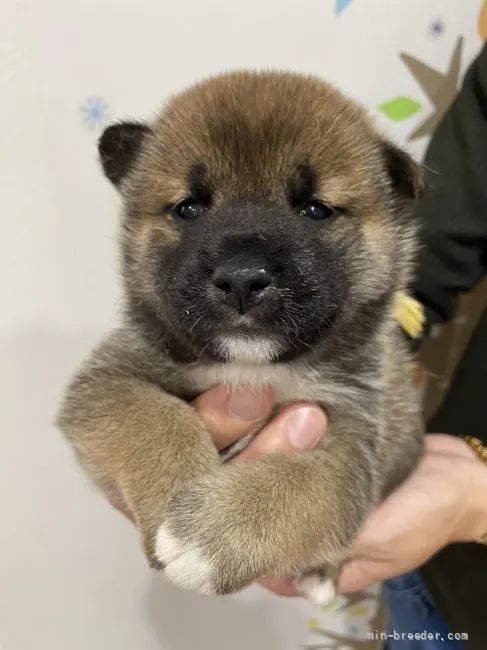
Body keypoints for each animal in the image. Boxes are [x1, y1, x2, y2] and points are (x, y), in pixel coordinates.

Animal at [57, 69, 426, 596]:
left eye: (315, 209)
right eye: (189, 208)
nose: (242, 278)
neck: (251, 368)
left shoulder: (350, 439)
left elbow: (296, 484)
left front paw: (211, 538)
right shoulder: (107, 380)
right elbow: (151, 417)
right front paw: (174, 495)